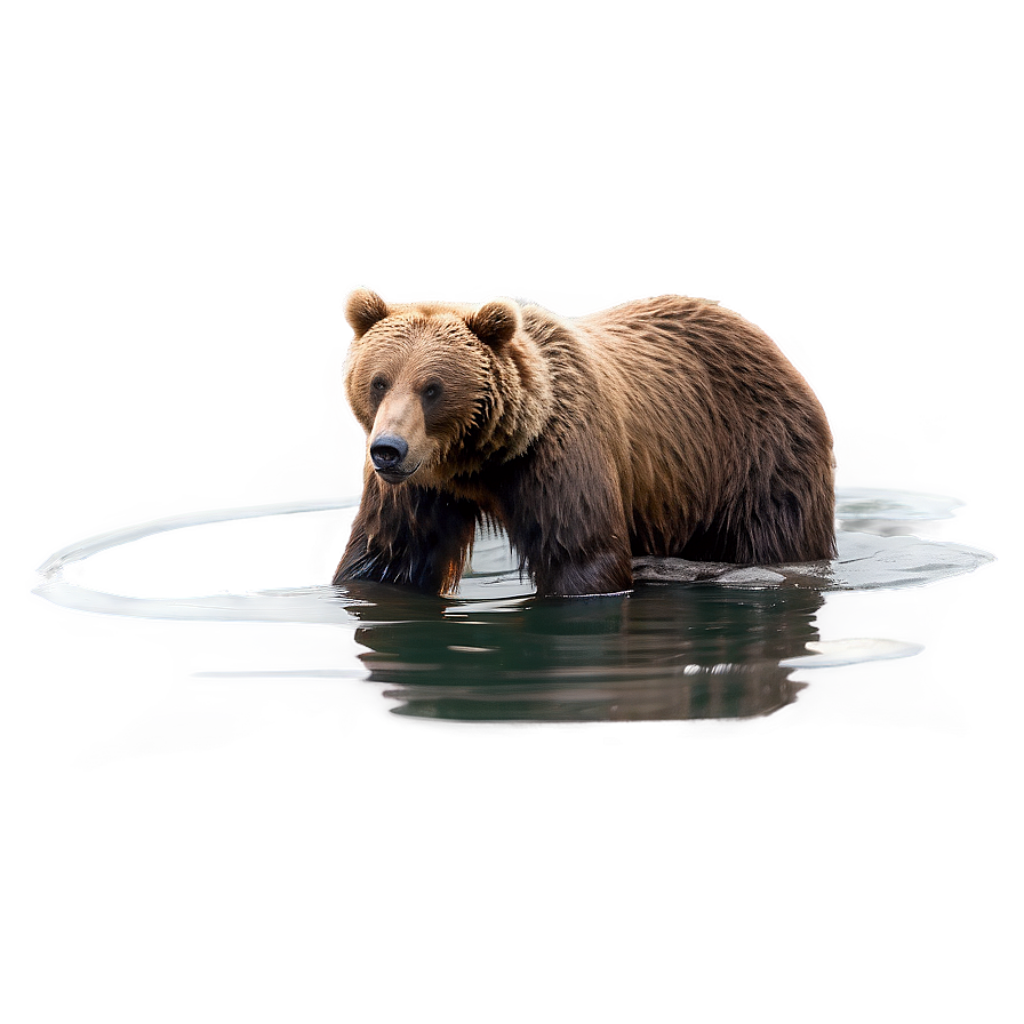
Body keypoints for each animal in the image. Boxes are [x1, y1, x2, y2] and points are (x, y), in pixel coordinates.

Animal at [330, 285, 836, 598]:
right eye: (379, 382)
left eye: (432, 388)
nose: (388, 449)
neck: (481, 461)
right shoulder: (421, 486)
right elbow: (387, 557)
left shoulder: (561, 456)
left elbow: (582, 559)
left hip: (759, 455)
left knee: (775, 535)